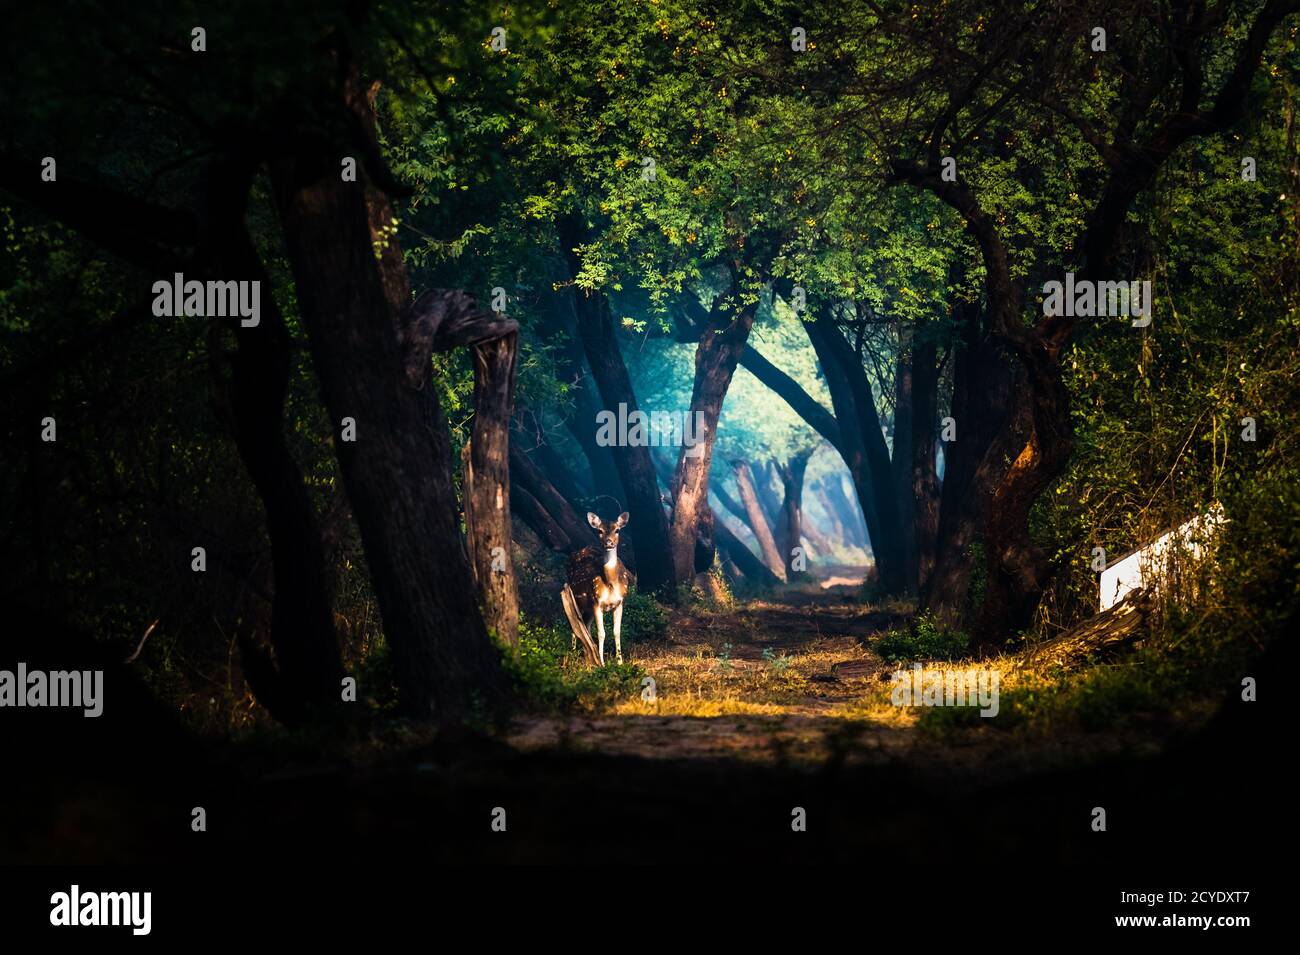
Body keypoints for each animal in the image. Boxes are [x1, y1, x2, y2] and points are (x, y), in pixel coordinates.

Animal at [564, 514, 634, 665]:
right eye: (600, 531)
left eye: (617, 530)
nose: (608, 542)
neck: (611, 583)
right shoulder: (596, 602)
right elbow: (601, 633)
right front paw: (602, 663)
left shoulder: (620, 602)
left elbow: (616, 631)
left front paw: (620, 662)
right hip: (575, 599)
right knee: (574, 625)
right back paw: (573, 653)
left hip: (588, 608)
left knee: (586, 626)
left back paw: (587, 653)